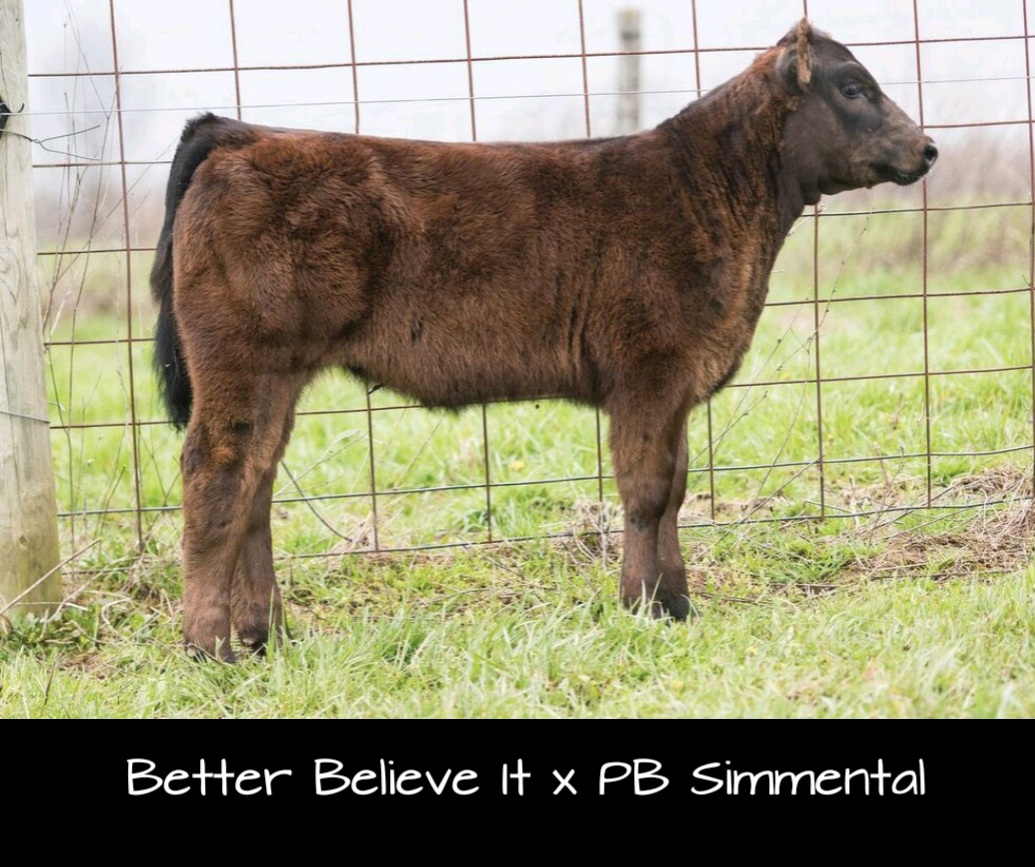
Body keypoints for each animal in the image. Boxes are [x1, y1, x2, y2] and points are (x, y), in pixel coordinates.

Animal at [151, 19, 937, 660]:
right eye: (852, 86)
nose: (927, 148)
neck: (715, 193)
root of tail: (240, 132)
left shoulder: (676, 382)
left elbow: (676, 486)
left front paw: (677, 603)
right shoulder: (648, 369)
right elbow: (648, 491)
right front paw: (642, 605)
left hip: (276, 373)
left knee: (255, 482)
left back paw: (268, 636)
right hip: (242, 359)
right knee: (216, 473)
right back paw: (208, 647)